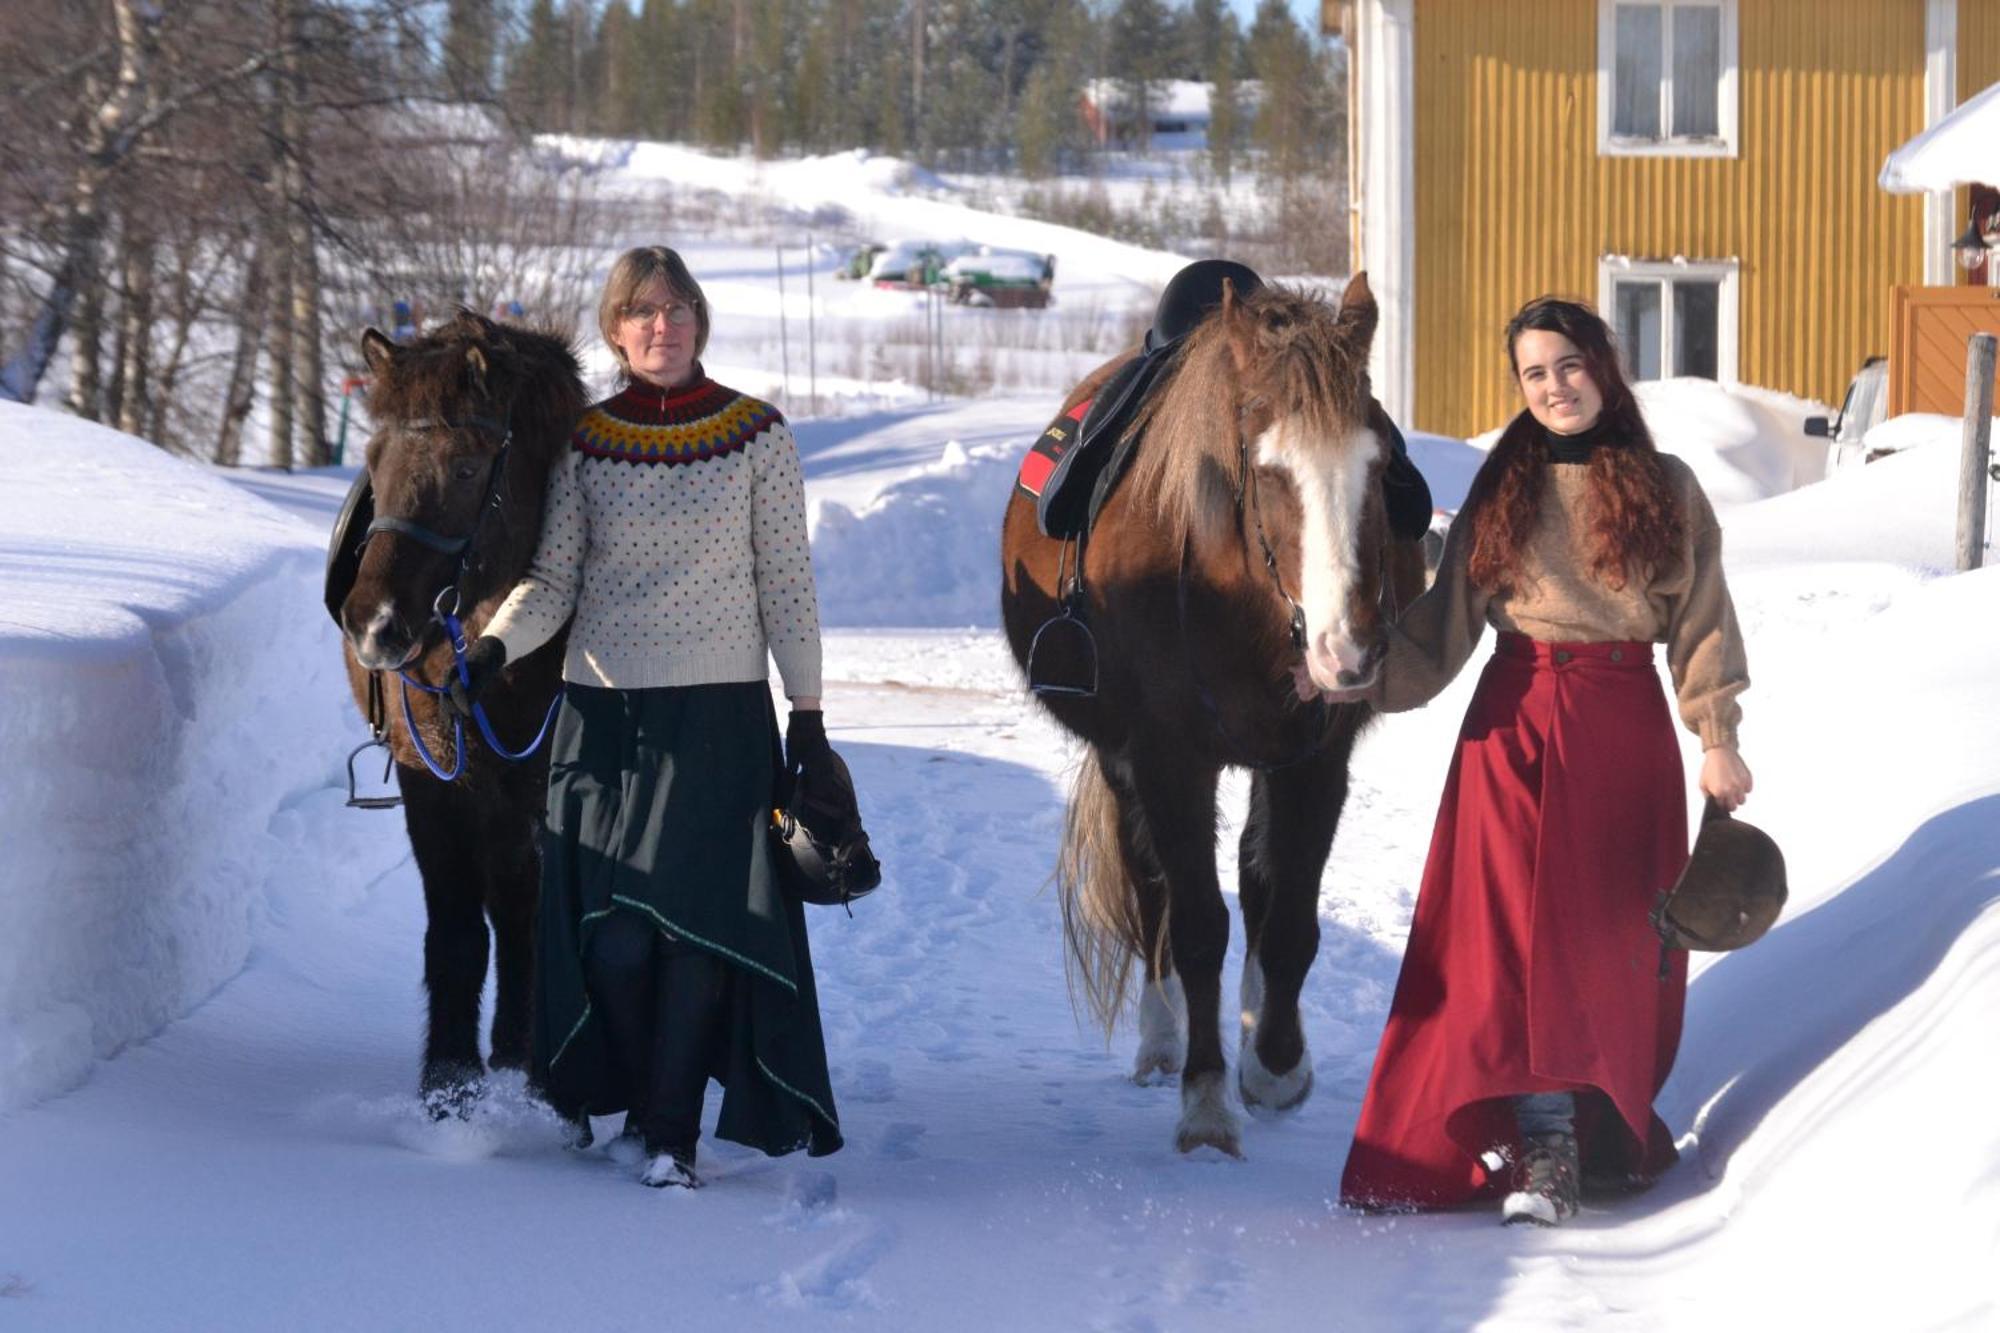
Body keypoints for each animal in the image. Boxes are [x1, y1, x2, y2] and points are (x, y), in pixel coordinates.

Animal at [336, 312, 584, 1112]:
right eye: (375, 456)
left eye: (469, 468)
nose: (373, 624)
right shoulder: (433, 781)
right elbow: (454, 926)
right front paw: (448, 1080)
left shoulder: (537, 784)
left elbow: (524, 914)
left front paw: (525, 1067)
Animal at [1000, 278, 1424, 1152]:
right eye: (1267, 469)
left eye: (1380, 462)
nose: (1348, 649)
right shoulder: (1168, 760)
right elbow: (1196, 923)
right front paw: (1204, 1098)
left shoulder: (1316, 758)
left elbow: (1288, 915)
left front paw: (1276, 1063)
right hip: (1126, 764)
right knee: (1150, 888)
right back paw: (1162, 1040)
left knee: (1258, 888)